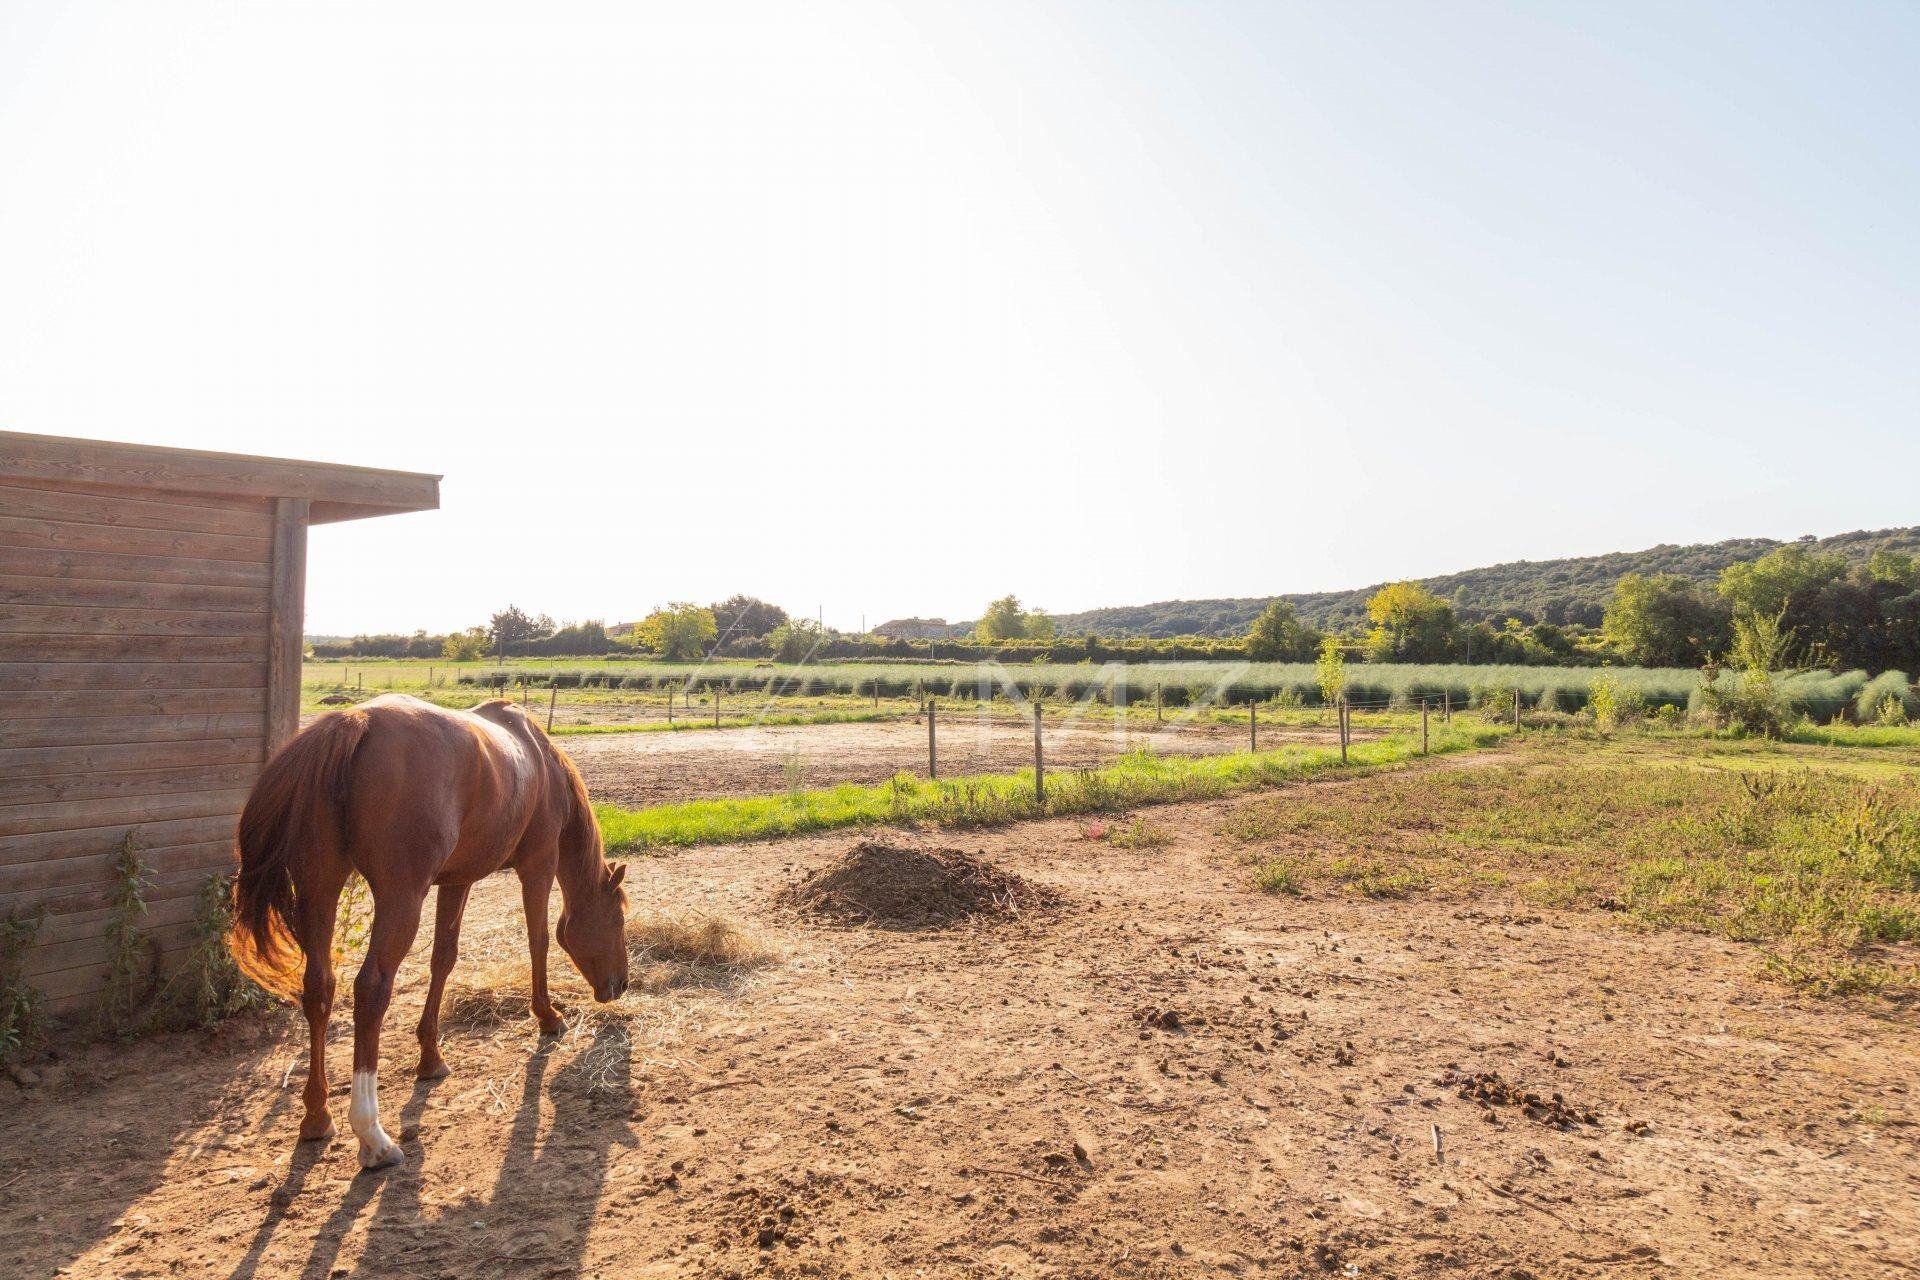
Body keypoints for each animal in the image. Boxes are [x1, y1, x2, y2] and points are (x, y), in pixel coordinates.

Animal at [228, 690, 625, 1174]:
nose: (621, 985)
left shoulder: (457, 880)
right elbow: (539, 941)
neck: (539, 762)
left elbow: (444, 958)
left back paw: (318, 1115)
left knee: (319, 988)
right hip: (400, 899)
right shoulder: (538, 865)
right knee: (371, 989)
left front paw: (431, 1055)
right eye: (619, 919)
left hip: (319, 888)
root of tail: (355, 721)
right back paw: (372, 1136)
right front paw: (548, 1016)